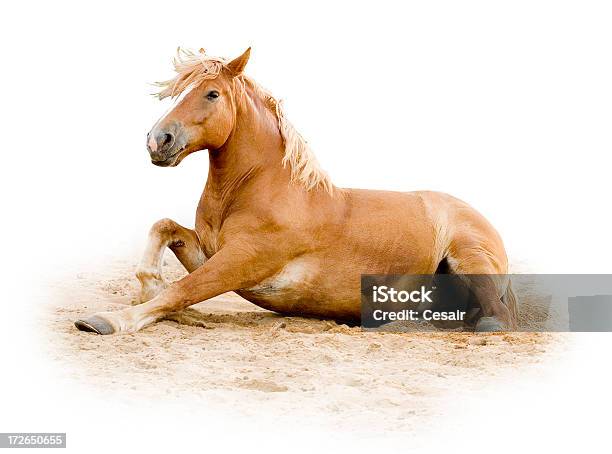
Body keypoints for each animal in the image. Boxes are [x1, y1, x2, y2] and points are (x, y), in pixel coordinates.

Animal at [75, 48, 516, 336]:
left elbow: (182, 290)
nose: (157, 140)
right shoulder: (215, 252)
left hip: (470, 258)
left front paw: (109, 320)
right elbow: (164, 227)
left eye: (212, 94)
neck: (259, 187)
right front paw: (148, 290)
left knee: (497, 317)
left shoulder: (243, 261)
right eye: (180, 92)